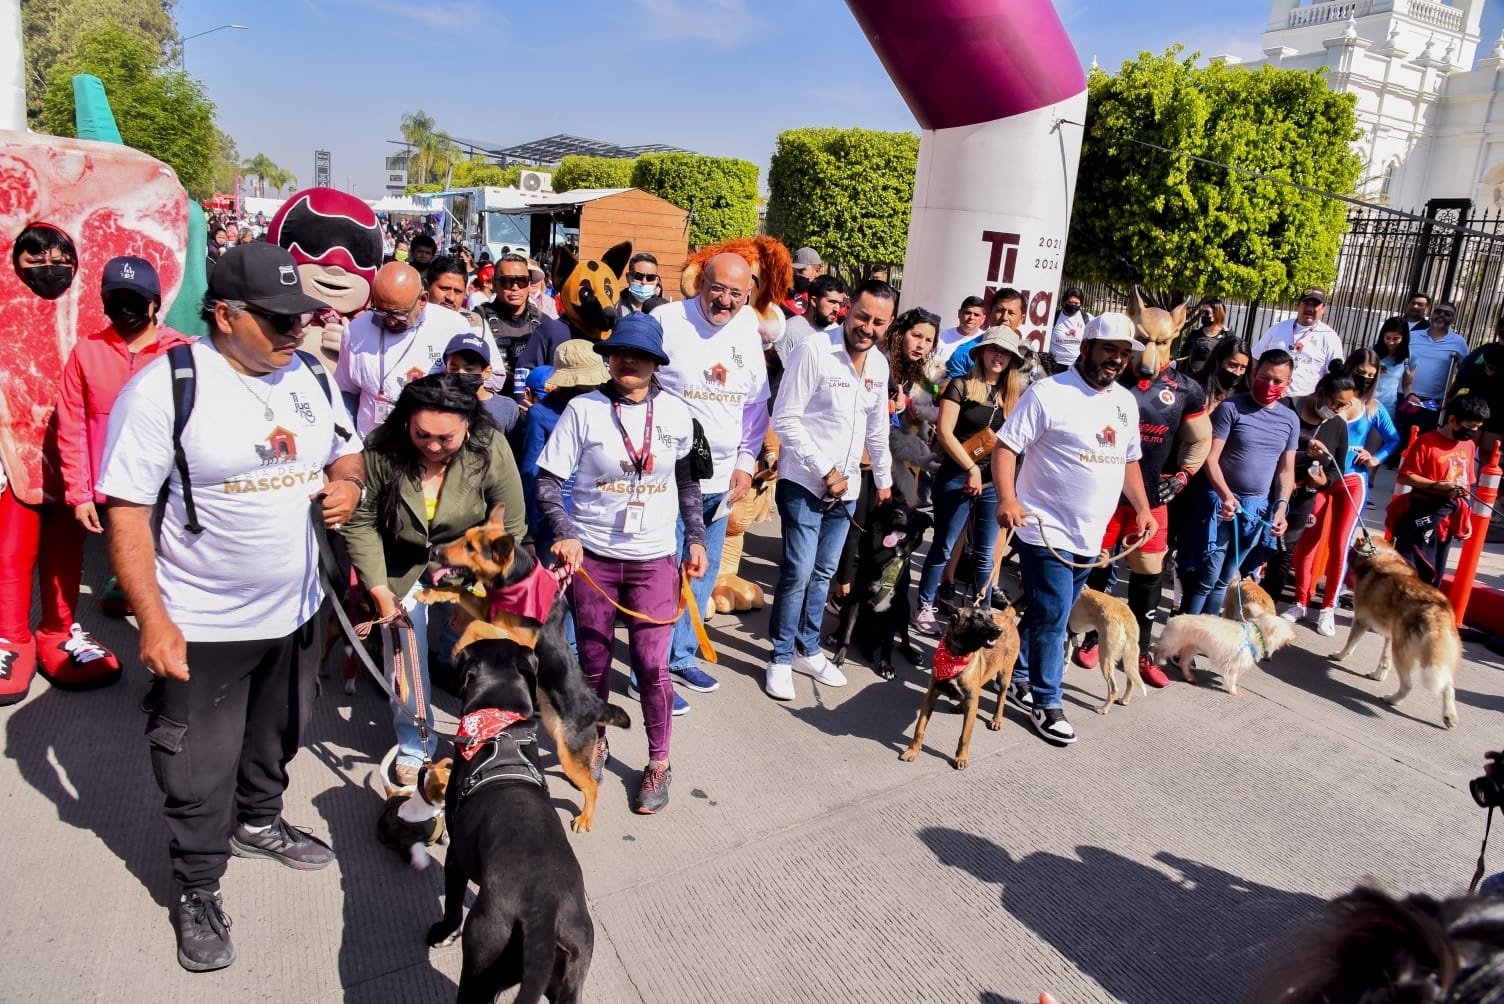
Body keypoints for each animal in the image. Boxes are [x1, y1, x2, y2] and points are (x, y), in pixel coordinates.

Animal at [430, 643, 592, 1004]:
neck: (501, 731)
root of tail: (542, 917)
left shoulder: (456, 856)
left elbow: (452, 902)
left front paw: (443, 932)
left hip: (481, 960)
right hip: (571, 974)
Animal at [830, 502, 932, 682]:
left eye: (913, 514)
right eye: (893, 507)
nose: (898, 514)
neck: (891, 559)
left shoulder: (896, 609)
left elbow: (890, 641)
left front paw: (886, 665)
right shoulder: (856, 600)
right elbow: (847, 632)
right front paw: (839, 658)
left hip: (905, 609)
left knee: (904, 637)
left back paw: (912, 654)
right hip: (848, 600)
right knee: (844, 624)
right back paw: (835, 635)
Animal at [890, 604, 1022, 769]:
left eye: (991, 618)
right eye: (977, 617)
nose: (998, 631)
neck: (956, 656)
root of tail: (1007, 615)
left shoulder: (972, 702)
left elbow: (965, 735)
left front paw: (961, 757)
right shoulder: (930, 696)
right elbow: (919, 728)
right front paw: (912, 751)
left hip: (1004, 676)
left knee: (1001, 698)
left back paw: (996, 720)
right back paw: (960, 706)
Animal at [1149, 613, 1293, 697]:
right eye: (1287, 627)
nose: (1294, 635)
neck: (1257, 634)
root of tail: (1173, 619)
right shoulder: (1235, 664)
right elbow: (1233, 678)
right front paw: (1234, 691)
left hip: (1190, 647)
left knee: (1183, 662)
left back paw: (1188, 676)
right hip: (1173, 644)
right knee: (1157, 649)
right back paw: (1157, 665)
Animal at [1335, 541, 1461, 730]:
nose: (1348, 550)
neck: (1378, 555)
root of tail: (1435, 612)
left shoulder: (1361, 620)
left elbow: (1350, 644)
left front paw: (1339, 656)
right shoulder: (1391, 635)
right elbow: (1384, 660)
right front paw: (1377, 675)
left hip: (1402, 653)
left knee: (1408, 686)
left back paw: (1392, 699)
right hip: (1438, 658)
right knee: (1448, 687)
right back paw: (1449, 716)